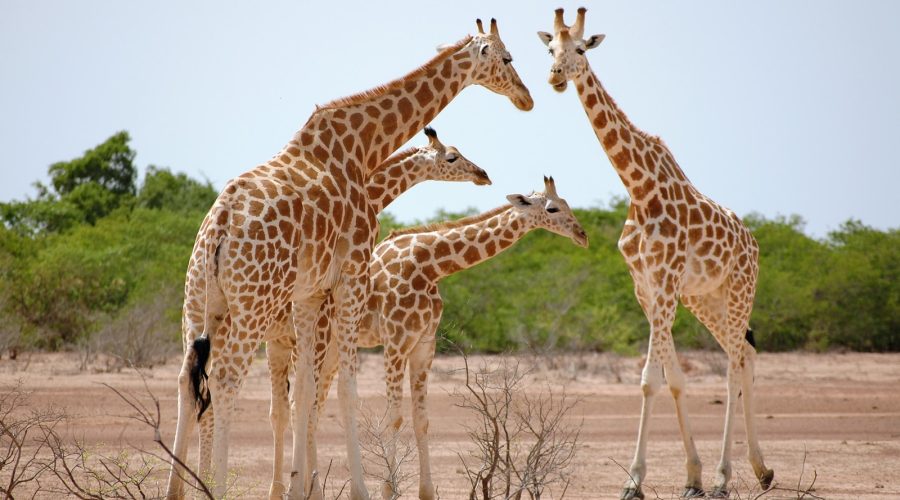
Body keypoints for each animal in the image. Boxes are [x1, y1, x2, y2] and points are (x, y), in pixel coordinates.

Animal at [274, 177, 592, 500]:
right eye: (552, 209)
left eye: (567, 204)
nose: (582, 235)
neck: (430, 266)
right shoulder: (395, 342)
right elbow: (394, 417)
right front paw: (388, 489)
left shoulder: (424, 346)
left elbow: (421, 420)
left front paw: (425, 491)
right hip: (312, 341)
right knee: (300, 403)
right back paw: (304, 488)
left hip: (333, 352)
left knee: (314, 407)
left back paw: (310, 488)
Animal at [536, 7, 776, 500]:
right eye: (550, 48)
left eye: (581, 49)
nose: (555, 77)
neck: (639, 187)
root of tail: (753, 241)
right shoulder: (645, 286)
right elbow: (669, 379)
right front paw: (686, 477)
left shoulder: (665, 281)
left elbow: (655, 379)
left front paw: (643, 480)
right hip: (705, 299)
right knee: (745, 355)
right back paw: (760, 470)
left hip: (739, 289)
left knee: (732, 366)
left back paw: (726, 476)